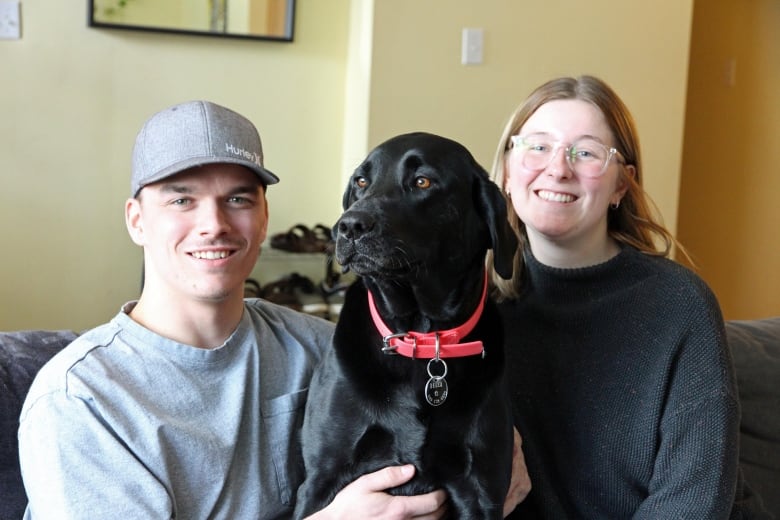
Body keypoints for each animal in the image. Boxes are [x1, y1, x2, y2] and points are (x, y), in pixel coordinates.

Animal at [292, 132, 516, 516]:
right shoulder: (321, 479)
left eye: (422, 181)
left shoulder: (482, 490)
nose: (349, 226)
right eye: (361, 182)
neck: (422, 338)